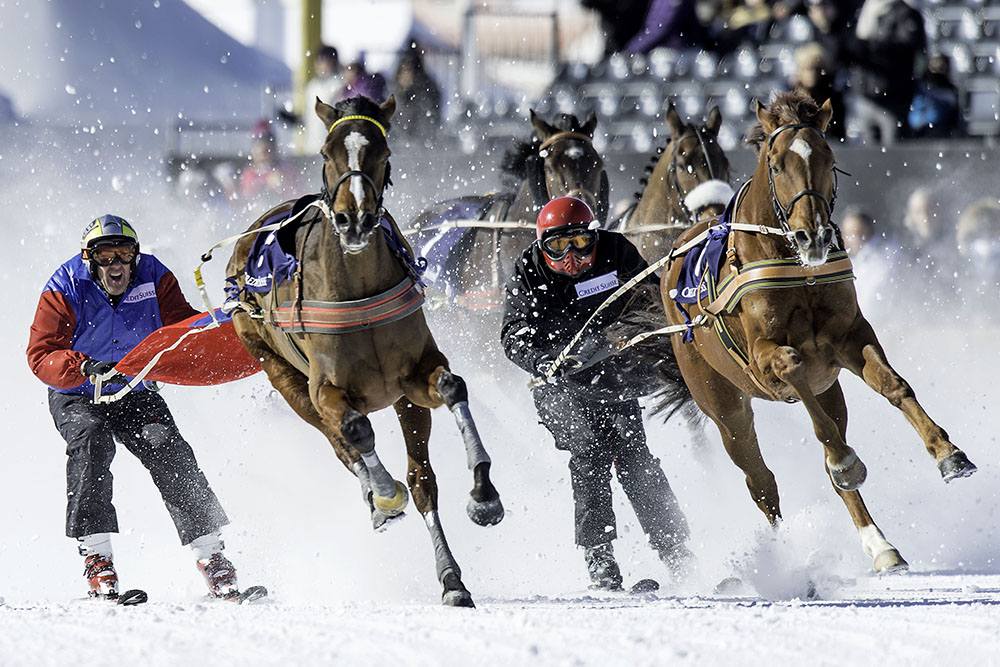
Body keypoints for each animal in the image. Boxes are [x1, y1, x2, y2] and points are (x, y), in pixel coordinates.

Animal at [229, 96, 508, 608]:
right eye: (326, 151)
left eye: (383, 151)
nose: (354, 217)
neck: (357, 290)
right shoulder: (324, 389)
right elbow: (355, 431)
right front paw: (384, 494)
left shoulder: (411, 377)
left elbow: (451, 388)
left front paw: (483, 494)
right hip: (276, 369)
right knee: (338, 441)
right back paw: (378, 497)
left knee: (421, 479)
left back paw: (450, 575)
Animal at [664, 90, 976, 576]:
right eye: (775, 165)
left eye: (829, 158)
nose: (813, 235)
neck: (797, 268)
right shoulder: (763, 360)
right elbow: (793, 369)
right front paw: (846, 462)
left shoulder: (849, 337)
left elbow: (894, 386)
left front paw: (947, 452)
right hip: (723, 407)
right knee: (762, 480)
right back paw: (786, 552)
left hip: (828, 388)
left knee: (830, 442)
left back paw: (881, 546)